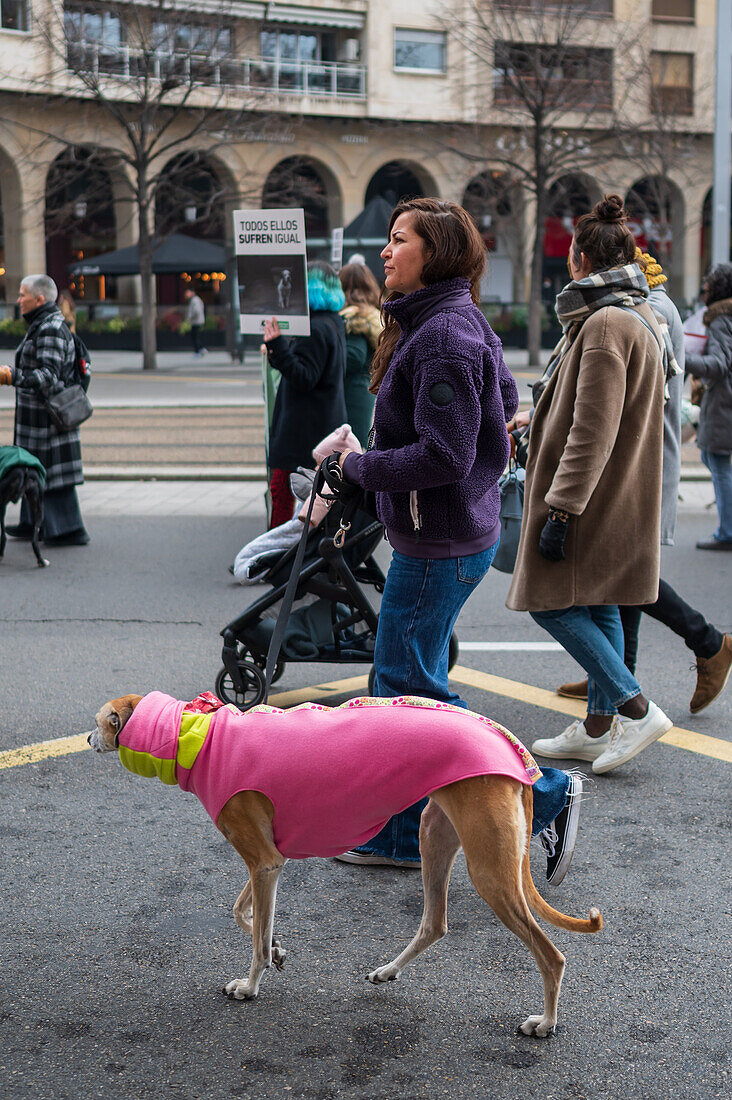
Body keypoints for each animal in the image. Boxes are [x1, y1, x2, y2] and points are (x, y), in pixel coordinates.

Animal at [86, 690, 598, 1034]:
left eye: (101, 721)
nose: (90, 737)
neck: (201, 737)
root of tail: (509, 749)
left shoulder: (263, 861)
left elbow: (252, 939)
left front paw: (250, 985)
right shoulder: (269, 861)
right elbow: (243, 914)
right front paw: (276, 947)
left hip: (489, 871)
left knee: (551, 955)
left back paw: (545, 1022)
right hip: (435, 833)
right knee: (434, 922)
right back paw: (388, 970)